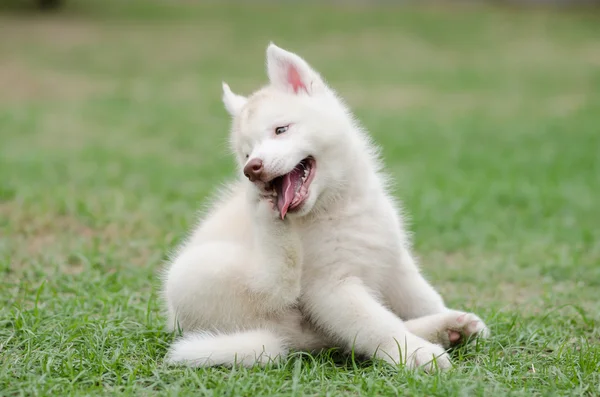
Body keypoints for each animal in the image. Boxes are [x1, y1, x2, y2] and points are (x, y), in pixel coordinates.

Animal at [162, 41, 490, 370]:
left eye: (281, 130)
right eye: (246, 153)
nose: (251, 169)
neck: (338, 205)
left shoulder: (394, 261)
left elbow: (423, 299)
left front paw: (443, 323)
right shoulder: (331, 288)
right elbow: (377, 325)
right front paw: (416, 353)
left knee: (340, 337)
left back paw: (449, 328)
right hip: (194, 271)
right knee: (274, 288)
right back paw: (268, 220)